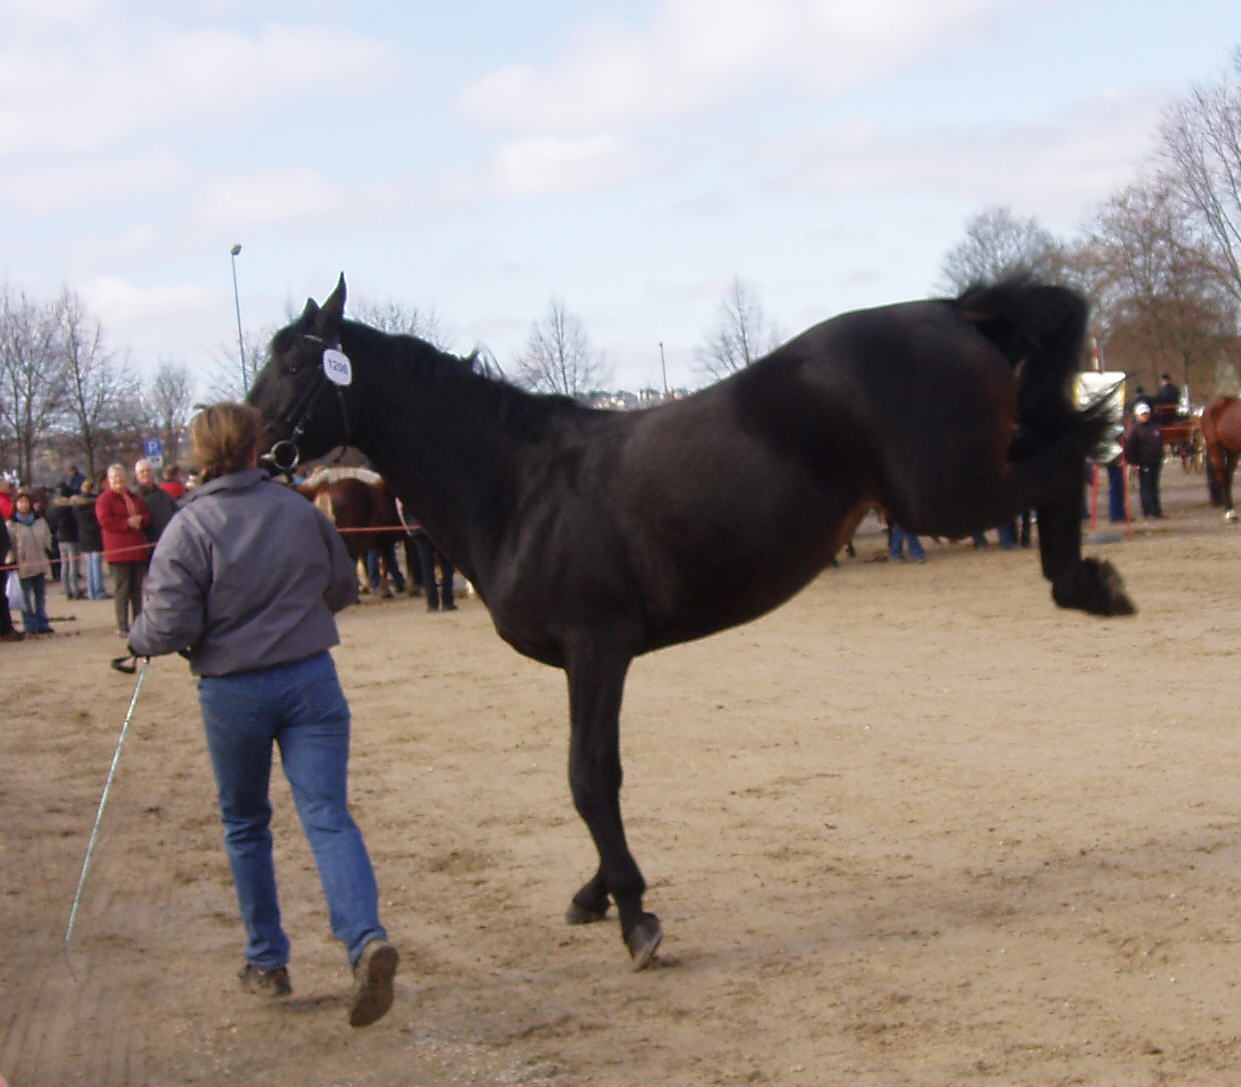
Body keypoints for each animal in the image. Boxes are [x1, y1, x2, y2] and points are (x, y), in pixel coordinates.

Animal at [249, 275, 1136, 972]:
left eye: (293, 363)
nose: (248, 447)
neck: (521, 485)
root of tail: (951, 310)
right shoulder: (593, 660)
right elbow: (599, 773)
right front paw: (598, 894)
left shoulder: (596, 648)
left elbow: (587, 777)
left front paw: (635, 916)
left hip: (944, 494)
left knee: (1066, 460)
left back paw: (1089, 586)